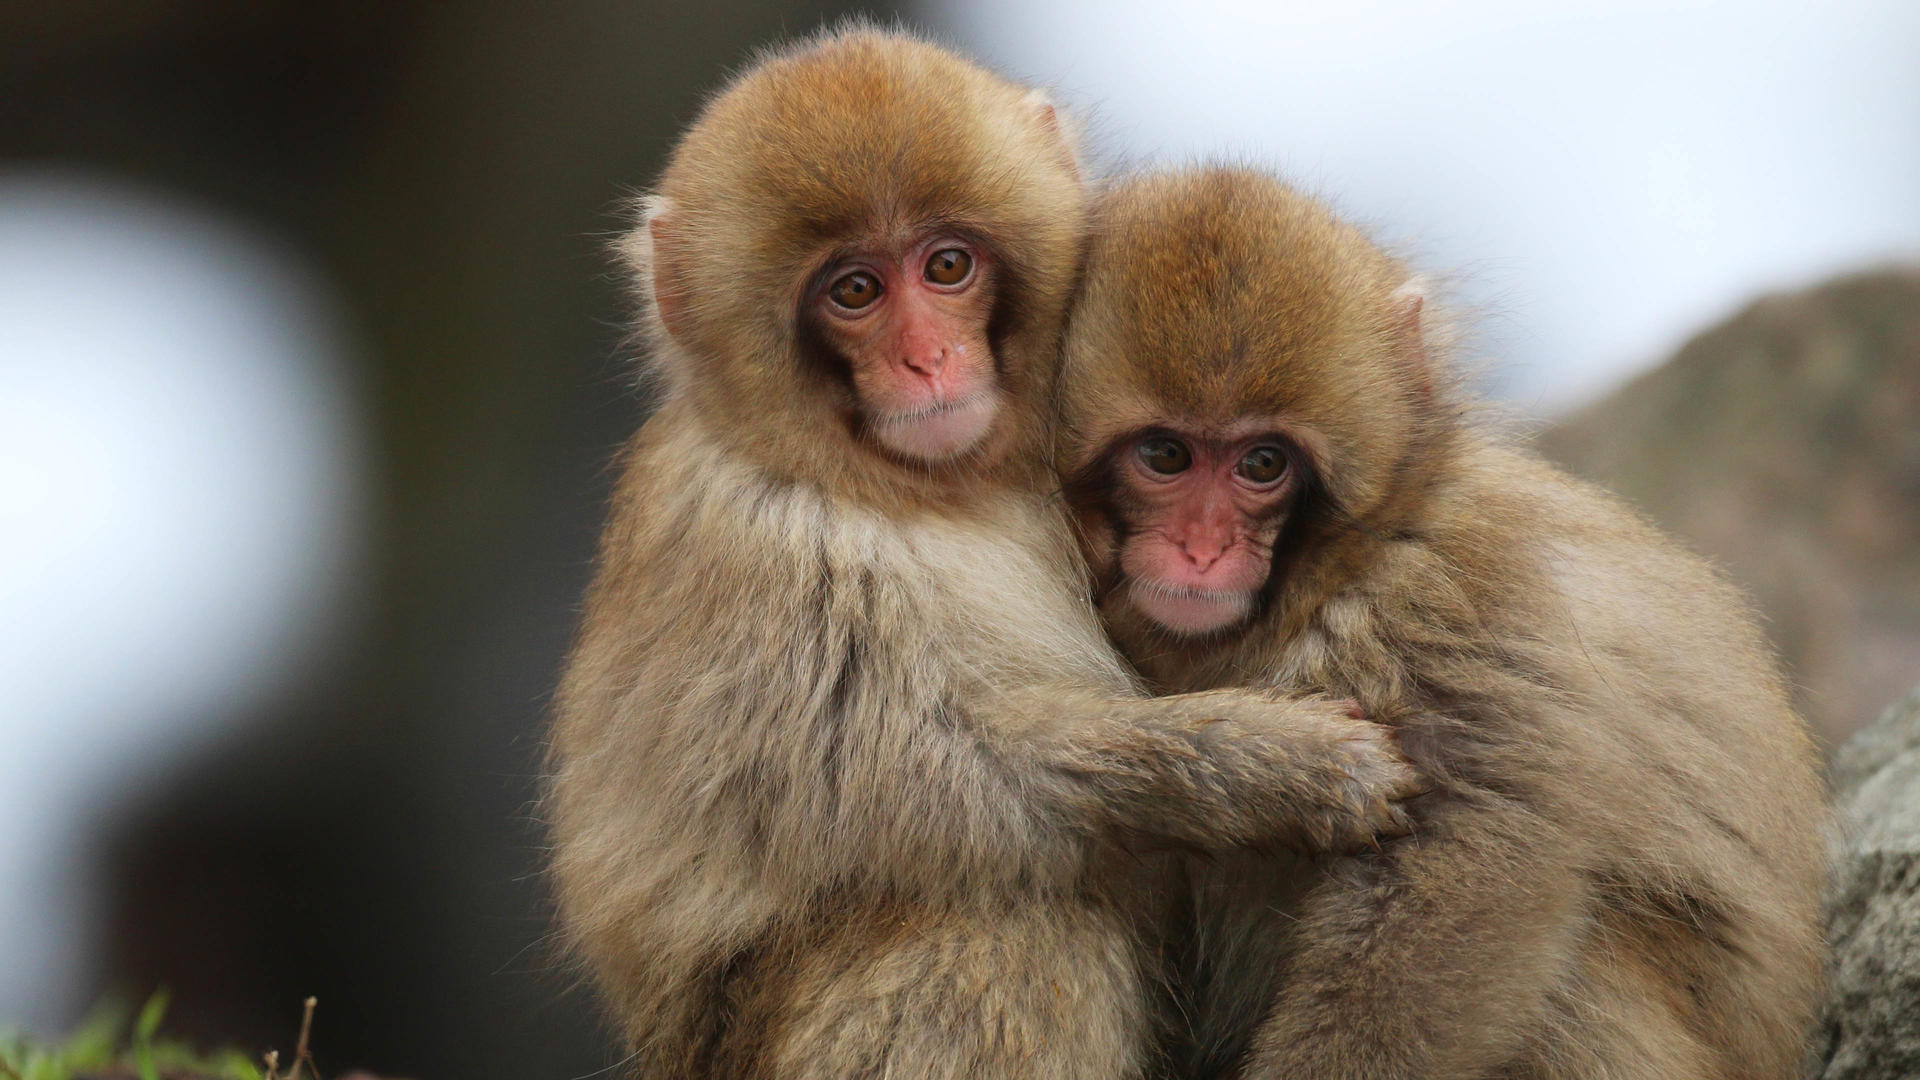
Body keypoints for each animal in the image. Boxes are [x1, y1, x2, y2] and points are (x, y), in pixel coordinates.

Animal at [549, 29, 1420, 1068]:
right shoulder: (760, 544)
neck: (924, 485)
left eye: (948, 266)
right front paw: (1265, 766)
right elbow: (914, 775)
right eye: (855, 290)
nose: (928, 358)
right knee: (996, 922)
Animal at [1059, 166, 1820, 1076]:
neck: (1329, 575)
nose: (1201, 550)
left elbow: (1466, 863)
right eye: (1166, 455)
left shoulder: (1454, 596)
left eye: (1263, 464)